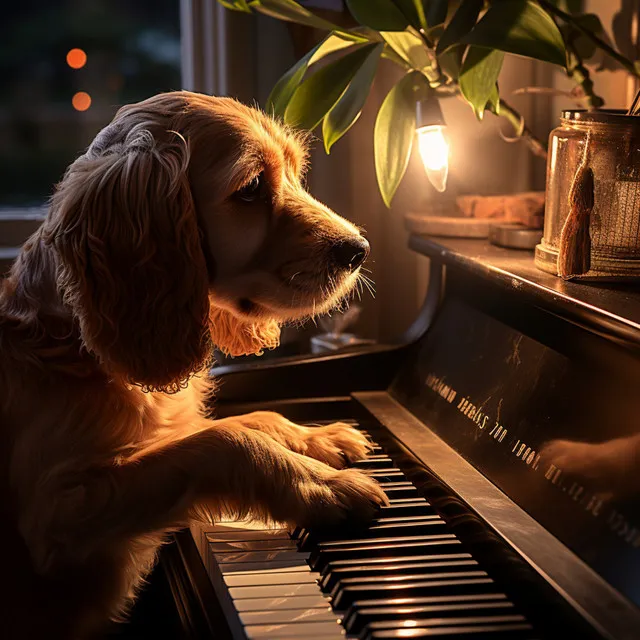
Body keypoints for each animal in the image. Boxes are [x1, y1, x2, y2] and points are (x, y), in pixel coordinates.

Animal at [0, 91, 384, 640]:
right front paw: (327, 487)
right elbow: (226, 441)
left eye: (295, 172)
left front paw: (321, 437)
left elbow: (253, 419)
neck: (70, 340)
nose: (360, 251)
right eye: (251, 189)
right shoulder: (59, 512)